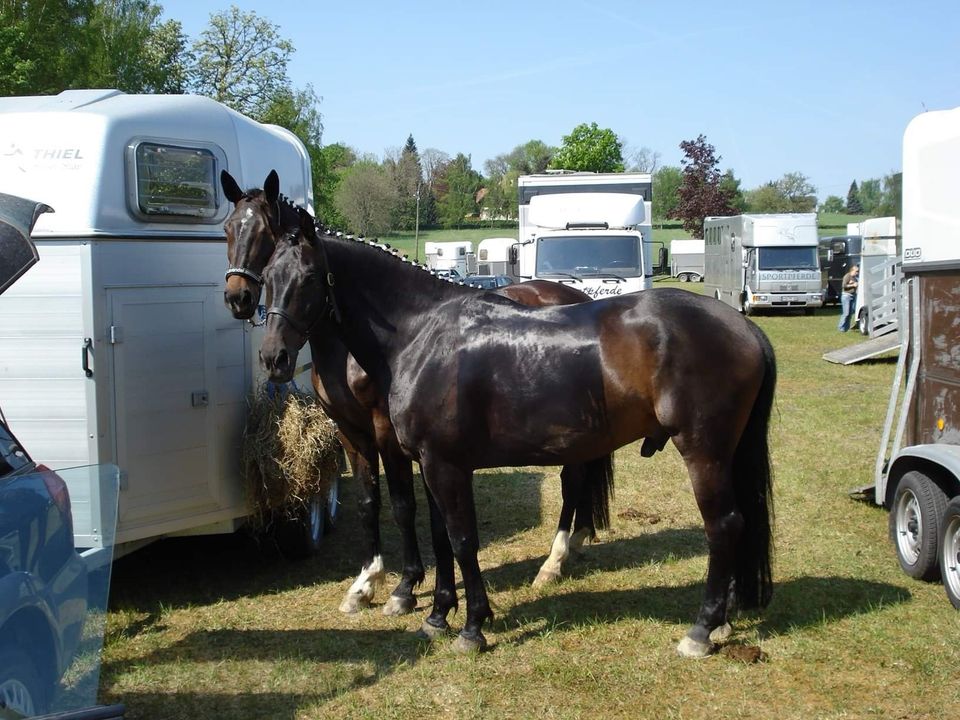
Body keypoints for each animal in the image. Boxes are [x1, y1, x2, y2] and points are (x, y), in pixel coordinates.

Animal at [221, 170, 612, 612]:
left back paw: (553, 561)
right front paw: (365, 583)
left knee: (572, 479)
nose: (237, 297)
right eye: (228, 230)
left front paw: (406, 587)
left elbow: (404, 506)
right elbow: (371, 503)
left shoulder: (388, 433)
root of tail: (575, 294)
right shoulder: (351, 432)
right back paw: (577, 540)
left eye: (262, 233)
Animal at [258, 219, 776, 660]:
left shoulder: (444, 465)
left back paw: (701, 630)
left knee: (724, 525)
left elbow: (462, 539)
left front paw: (471, 627)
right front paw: (438, 616)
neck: (420, 334)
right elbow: (441, 537)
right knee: (738, 521)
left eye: (309, 277)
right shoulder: (429, 463)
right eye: (267, 275)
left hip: (704, 452)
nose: (273, 357)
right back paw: (724, 619)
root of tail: (745, 326)